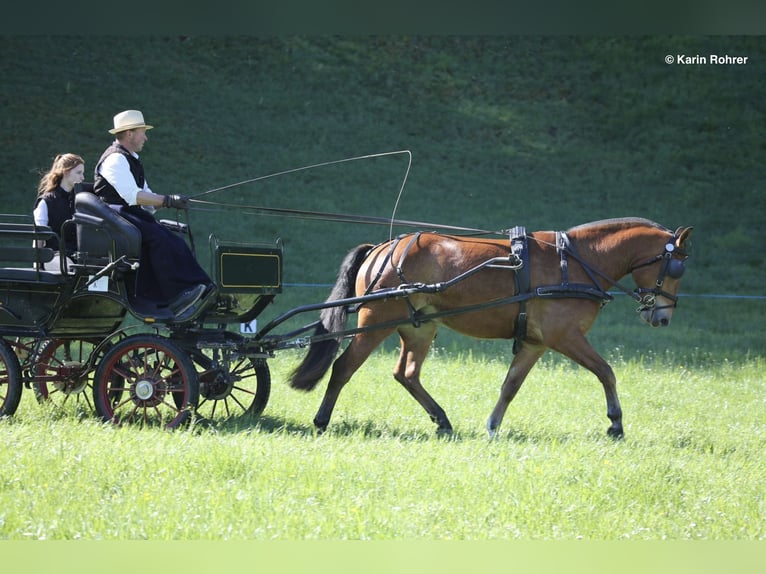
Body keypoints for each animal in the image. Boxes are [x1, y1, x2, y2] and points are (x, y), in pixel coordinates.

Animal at [290, 218, 696, 438]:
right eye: (677, 267)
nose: (662, 317)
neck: (576, 263)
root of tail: (383, 248)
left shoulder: (535, 343)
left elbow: (510, 385)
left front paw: (492, 426)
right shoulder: (565, 337)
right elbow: (607, 372)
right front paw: (615, 424)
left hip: (419, 327)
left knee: (406, 373)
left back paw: (442, 420)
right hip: (376, 322)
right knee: (343, 368)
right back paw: (322, 421)